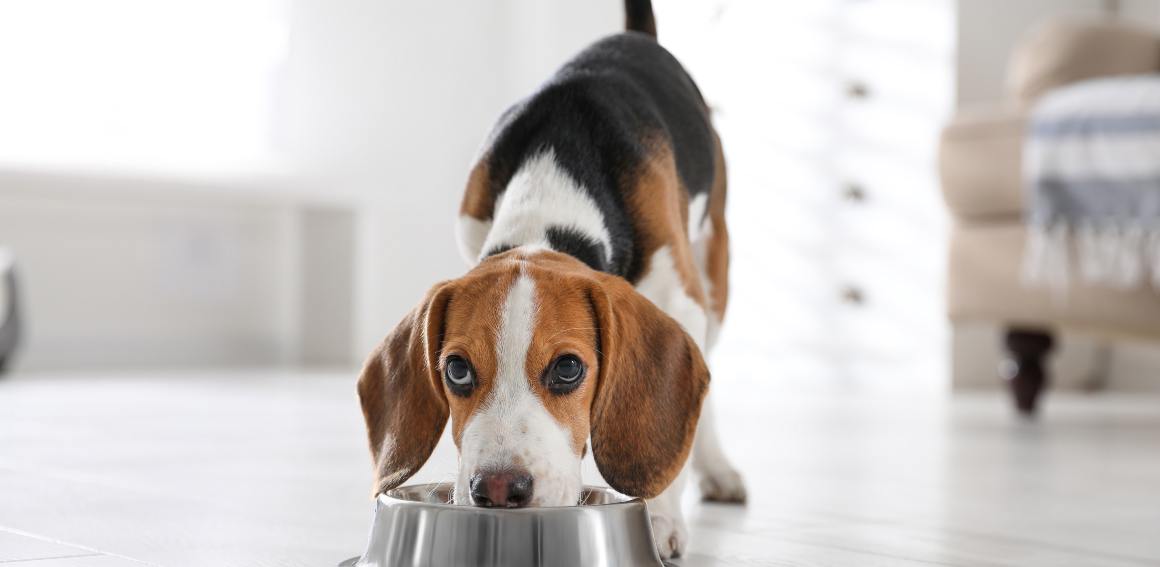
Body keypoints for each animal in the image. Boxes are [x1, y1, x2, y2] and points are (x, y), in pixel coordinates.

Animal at [357, 0, 747, 556]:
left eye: (567, 369)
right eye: (456, 370)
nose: (498, 489)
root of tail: (635, 37)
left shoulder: (679, 297)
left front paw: (661, 517)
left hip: (714, 270)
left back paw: (717, 469)